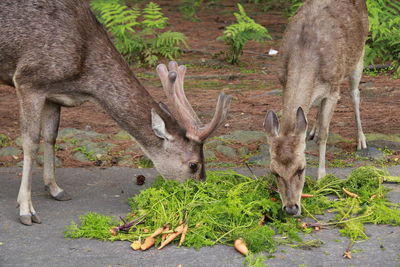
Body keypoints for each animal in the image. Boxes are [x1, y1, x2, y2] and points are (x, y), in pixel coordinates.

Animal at [0, 0, 231, 226]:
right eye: (194, 165)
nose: (200, 194)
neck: (83, 78)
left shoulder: (53, 94)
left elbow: (50, 136)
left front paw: (55, 189)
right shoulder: (29, 80)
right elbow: (30, 142)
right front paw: (26, 209)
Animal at [262, 0, 368, 216]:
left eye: (301, 169)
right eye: (274, 172)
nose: (291, 208)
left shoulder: (334, 88)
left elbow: (324, 136)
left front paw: (322, 177)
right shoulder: (283, 81)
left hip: (359, 55)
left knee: (355, 95)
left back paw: (361, 140)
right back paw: (312, 129)